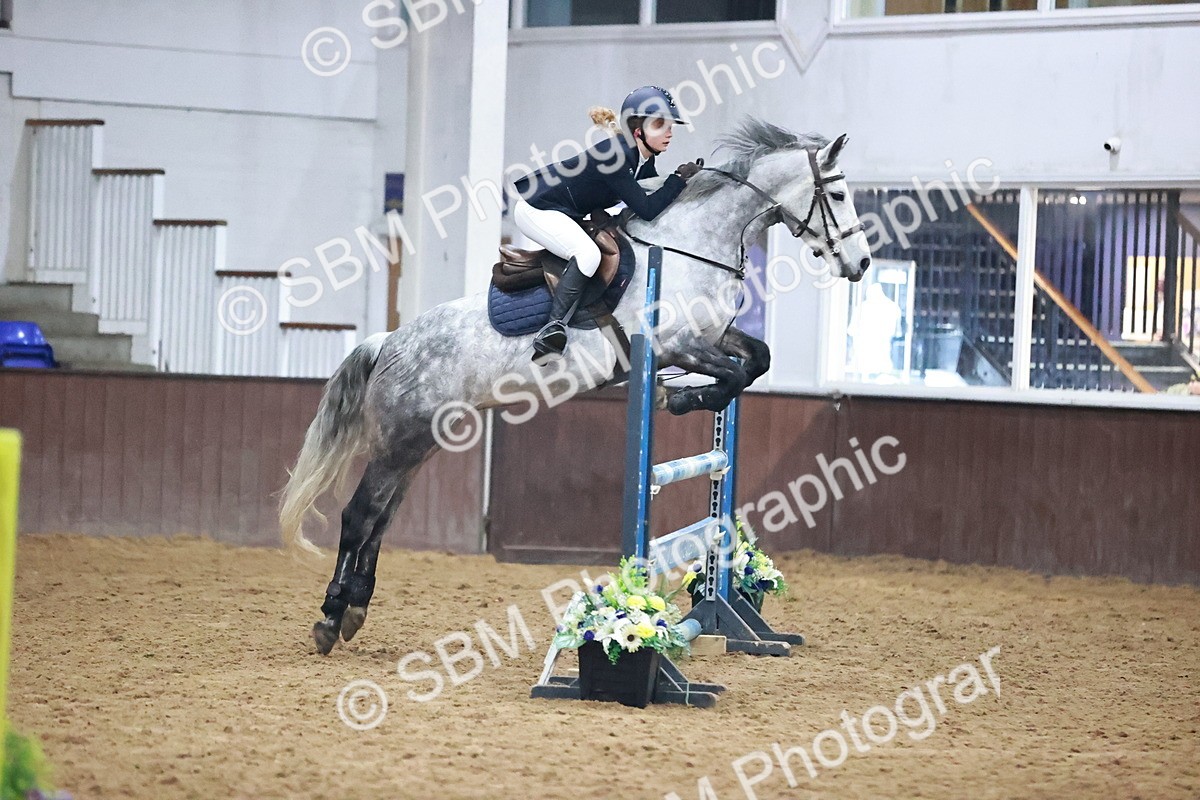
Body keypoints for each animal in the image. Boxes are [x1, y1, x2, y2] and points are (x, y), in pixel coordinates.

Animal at [279, 117, 873, 654]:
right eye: (839, 193)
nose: (862, 262)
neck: (693, 244)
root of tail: (390, 341)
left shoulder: (712, 336)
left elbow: (755, 362)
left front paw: (688, 396)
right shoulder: (676, 344)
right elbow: (730, 375)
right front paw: (682, 397)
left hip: (418, 443)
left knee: (381, 519)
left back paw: (356, 607)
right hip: (399, 442)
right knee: (359, 516)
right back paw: (330, 617)